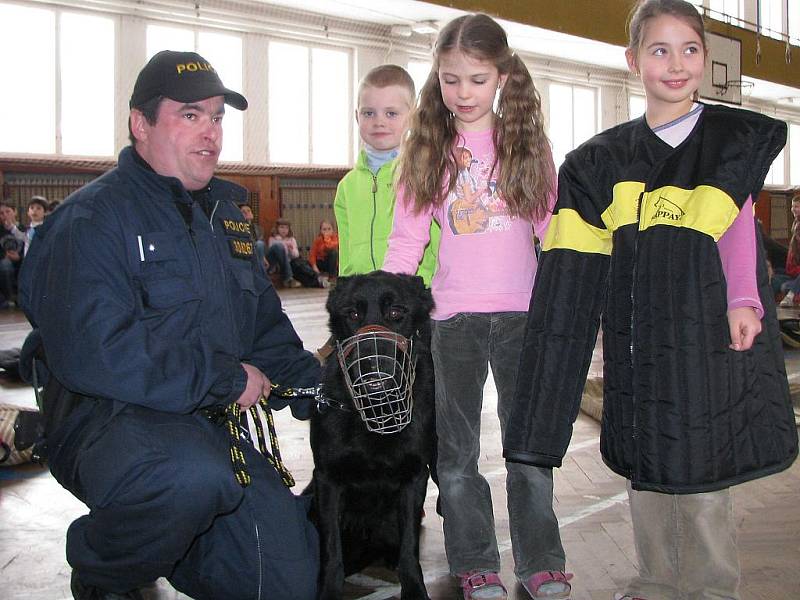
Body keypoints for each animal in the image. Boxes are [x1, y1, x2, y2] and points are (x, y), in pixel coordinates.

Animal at [310, 272, 434, 600]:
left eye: (396, 312)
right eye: (352, 314)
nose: (375, 375)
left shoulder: (414, 478)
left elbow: (409, 550)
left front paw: (415, 590)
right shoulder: (327, 480)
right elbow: (331, 553)